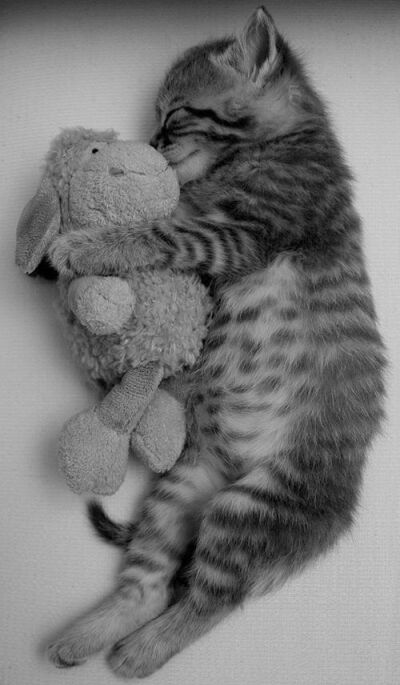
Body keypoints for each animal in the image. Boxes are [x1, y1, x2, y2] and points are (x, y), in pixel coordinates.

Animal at [47, 8, 388, 676]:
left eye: (175, 113)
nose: (152, 144)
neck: (284, 141)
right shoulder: (218, 240)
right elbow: (163, 229)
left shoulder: (237, 234)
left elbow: (155, 233)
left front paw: (86, 244)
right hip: (178, 488)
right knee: (151, 584)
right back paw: (86, 637)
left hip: (253, 507)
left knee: (211, 602)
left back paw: (139, 654)